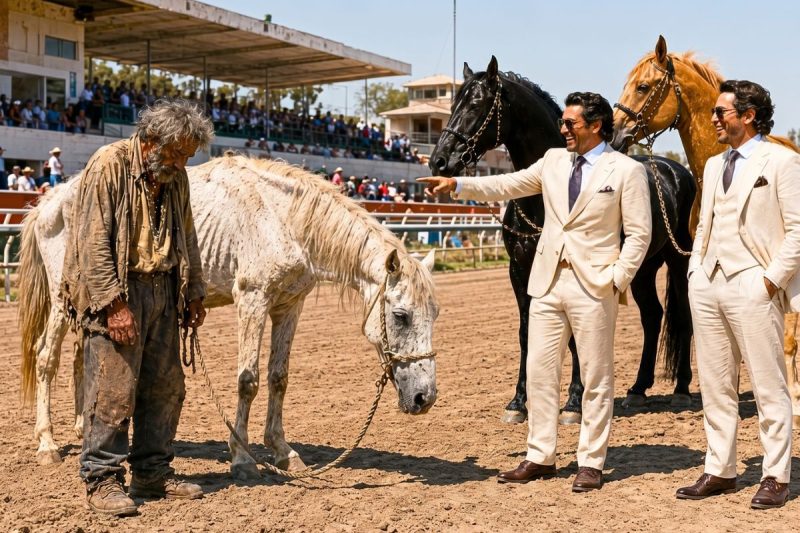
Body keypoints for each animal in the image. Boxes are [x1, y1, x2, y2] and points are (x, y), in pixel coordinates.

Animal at [18, 153, 440, 478]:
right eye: (400, 315)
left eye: (435, 315)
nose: (425, 397)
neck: (284, 218)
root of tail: (50, 201)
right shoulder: (252, 300)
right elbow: (248, 380)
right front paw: (242, 458)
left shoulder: (289, 306)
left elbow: (278, 378)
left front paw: (284, 451)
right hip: (61, 300)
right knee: (47, 359)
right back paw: (47, 444)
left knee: (80, 358)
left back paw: (80, 427)